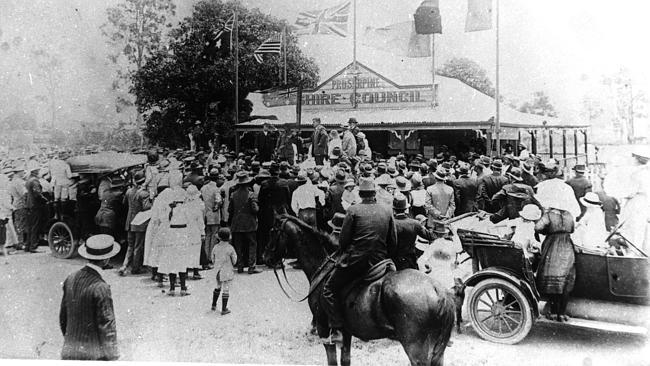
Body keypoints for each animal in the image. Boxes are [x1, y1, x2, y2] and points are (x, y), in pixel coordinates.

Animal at [260, 214, 454, 366]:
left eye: (272, 231)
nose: (265, 257)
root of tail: (438, 290)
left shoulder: (324, 329)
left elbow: (331, 361)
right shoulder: (346, 333)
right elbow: (345, 360)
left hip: (417, 351)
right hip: (438, 353)